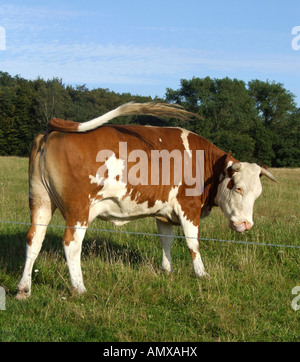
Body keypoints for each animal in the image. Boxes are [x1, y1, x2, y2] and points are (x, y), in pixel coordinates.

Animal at [16, 102, 278, 300]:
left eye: (258, 194)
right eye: (238, 187)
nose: (245, 225)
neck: (205, 163)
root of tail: (52, 131)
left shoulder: (164, 213)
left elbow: (166, 241)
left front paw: (167, 270)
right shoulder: (189, 208)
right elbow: (193, 244)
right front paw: (202, 274)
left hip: (40, 201)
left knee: (34, 239)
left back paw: (23, 289)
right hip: (78, 209)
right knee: (71, 243)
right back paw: (79, 288)